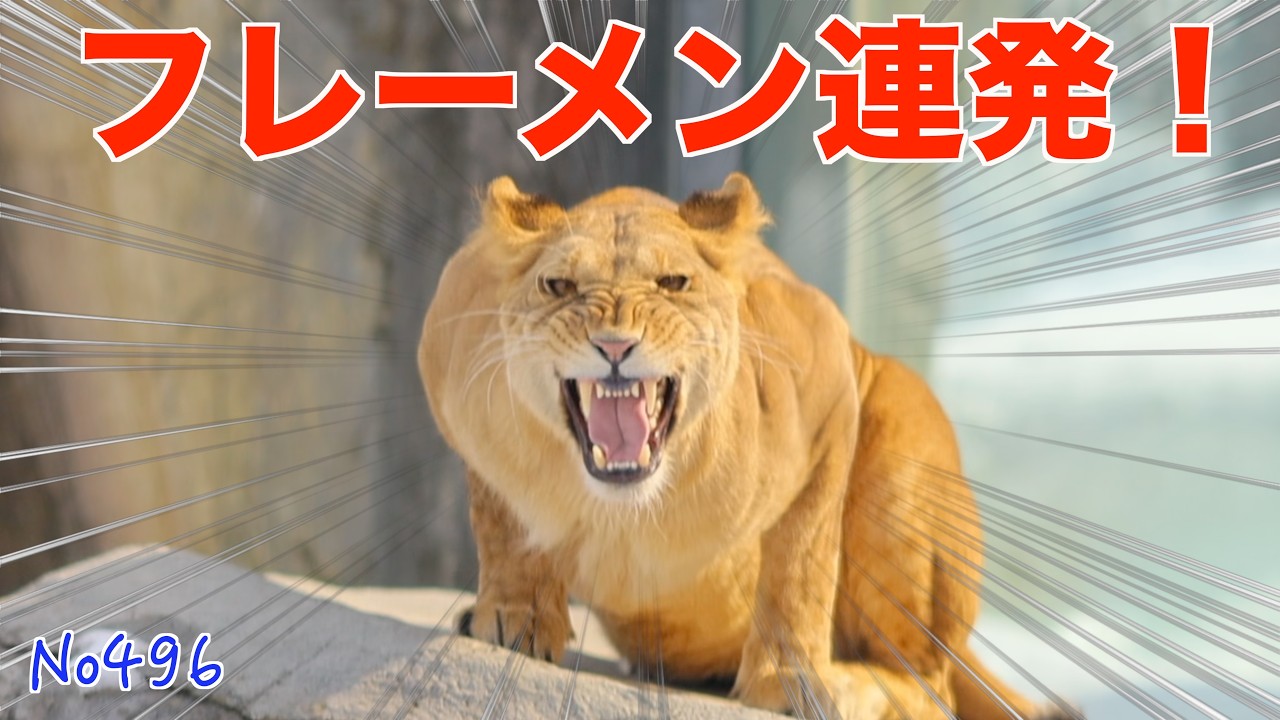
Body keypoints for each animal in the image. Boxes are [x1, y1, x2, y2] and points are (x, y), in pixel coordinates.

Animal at [417, 173, 1070, 719]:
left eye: (673, 283)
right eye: (559, 285)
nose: (614, 345)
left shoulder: (826, 367)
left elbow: (800, 562)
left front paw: (791, 680)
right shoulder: (455, 361)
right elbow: (503, 521)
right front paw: (514, 618)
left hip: (902, 460)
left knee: (930, 683)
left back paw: (849, 684)